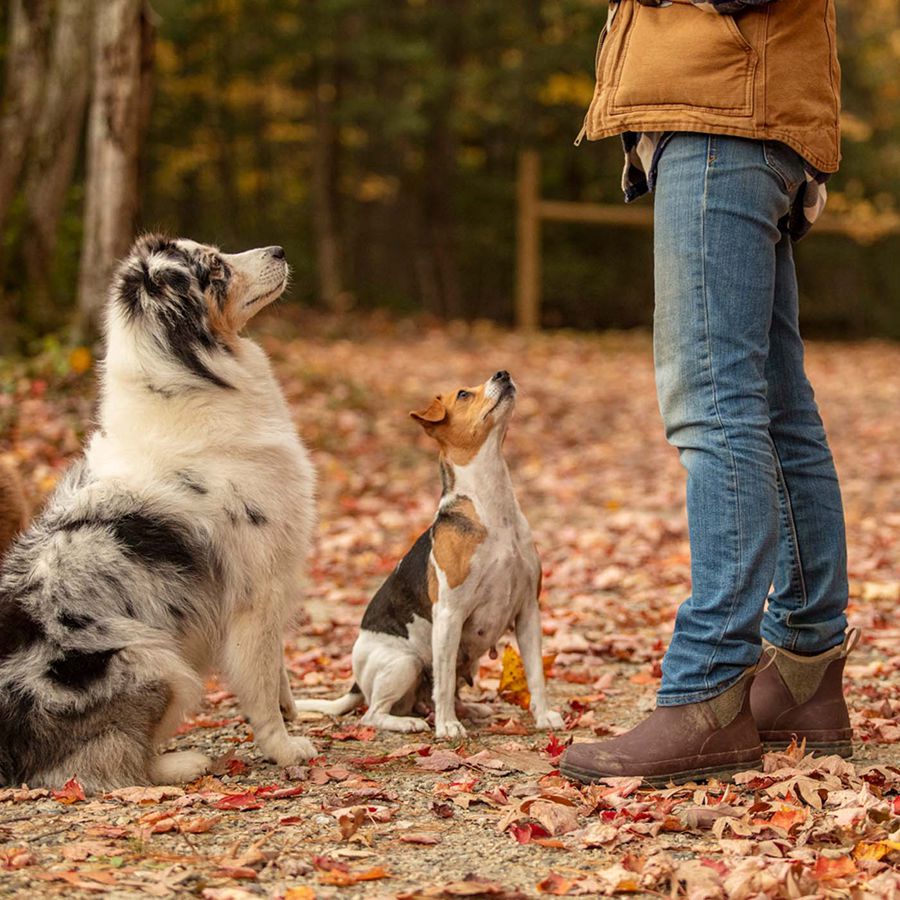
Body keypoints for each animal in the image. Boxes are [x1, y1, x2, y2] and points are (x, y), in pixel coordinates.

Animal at [0, 236, 316, 792]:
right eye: (215, 268)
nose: (279, 249)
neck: (189, 384)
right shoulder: (257, 591)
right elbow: (258, 680)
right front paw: (283, 748)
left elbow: (277, 670)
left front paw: (292, 710)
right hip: (153, 660)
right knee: (105, 764)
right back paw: (181, 763)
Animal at [298, 370, 564, 736]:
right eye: (464, 394)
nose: (503, 373)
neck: (492, 508)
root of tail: (356, 683)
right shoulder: (450, 613)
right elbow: (444, 680)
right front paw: (447, 726)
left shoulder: (528, 611)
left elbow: (536, 673)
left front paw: (543, 716)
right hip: (404, 662)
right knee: (374, 714)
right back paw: (411, 722)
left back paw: (469, 711)